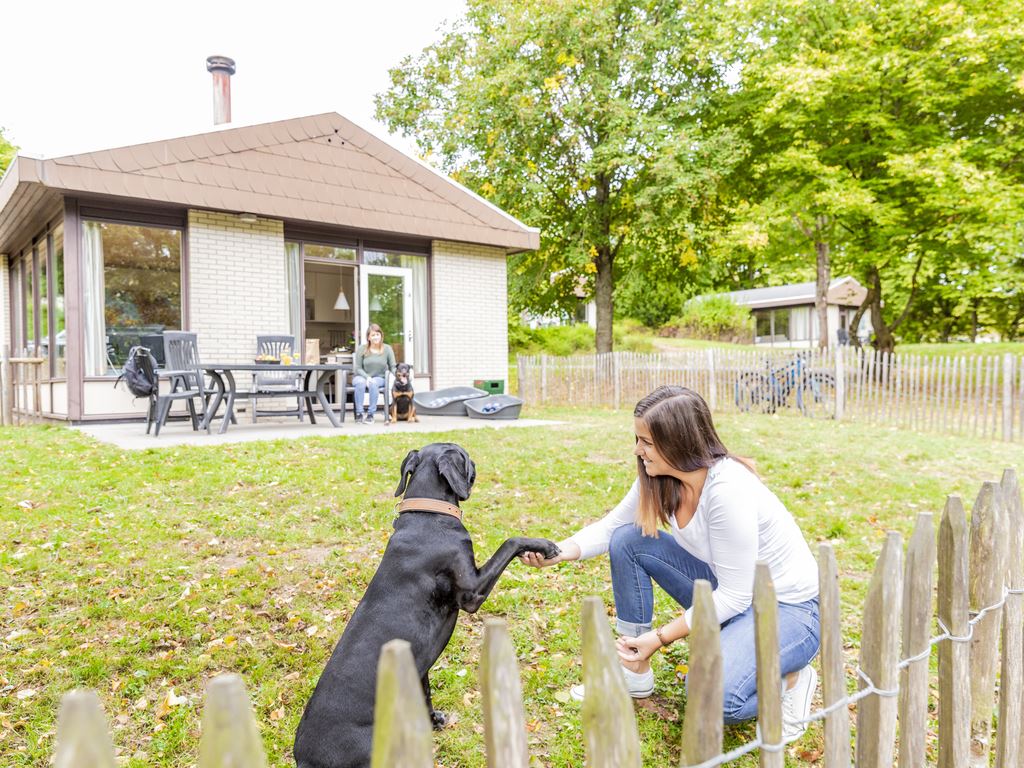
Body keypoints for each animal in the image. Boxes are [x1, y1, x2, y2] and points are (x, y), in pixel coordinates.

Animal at [292, 442, 561, 765]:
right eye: (464, 455)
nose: (475, 461)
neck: (428, 514)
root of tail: (304, 759)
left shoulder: (418, 670)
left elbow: (426, 694)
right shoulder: (472, 593)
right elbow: (509, 541)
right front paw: (543, 545)